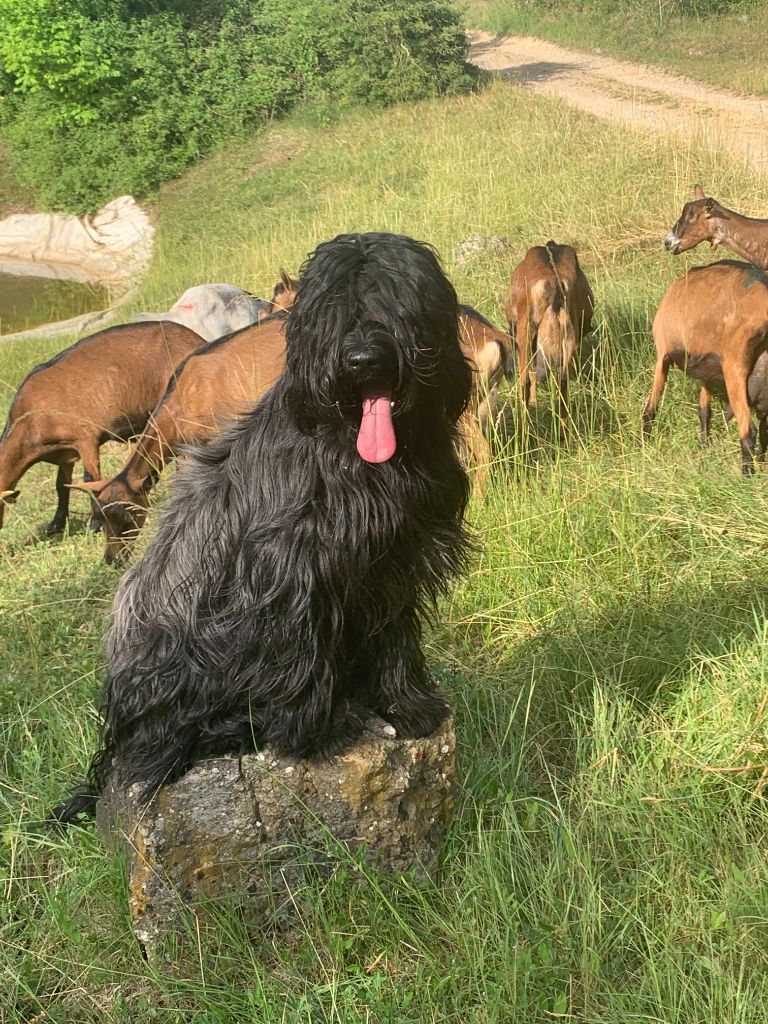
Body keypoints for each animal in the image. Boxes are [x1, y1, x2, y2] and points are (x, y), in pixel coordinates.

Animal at [0, 321, 204, 532]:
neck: (28, 419)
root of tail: (196, 339)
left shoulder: (85, 438)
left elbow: (90, 479)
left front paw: (95, 523)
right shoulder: (65, 452)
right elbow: (62, 485)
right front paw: (56, 524)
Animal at [505, 243, 593, 444]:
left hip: (526, 332)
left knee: (525, 380)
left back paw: (524, 432)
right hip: (567, 337)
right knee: (563, 381)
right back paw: (563, 435)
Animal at [638, 260, 768, 475]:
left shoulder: (662, 355)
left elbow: (651, 408)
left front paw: (644, 444)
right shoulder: (709, 370)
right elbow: (704, 410)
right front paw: (704, 445)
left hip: (735, 367)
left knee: (749, 430)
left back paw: (747, 475)